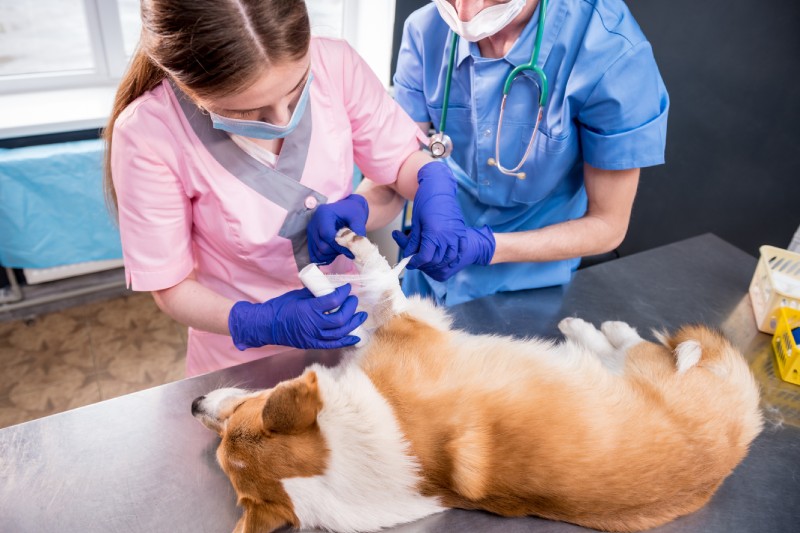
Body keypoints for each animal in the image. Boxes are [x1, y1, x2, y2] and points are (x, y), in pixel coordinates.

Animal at [194, 228, 764, 532]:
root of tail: (741, 434)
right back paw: (586, 328)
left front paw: (329, 261)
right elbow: (366, 289)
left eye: (241, 411)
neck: (346, 448)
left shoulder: (400, 325)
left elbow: (359, 285)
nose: (195, 404)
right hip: (641, 369)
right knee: (628, 346)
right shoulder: (403, 326)